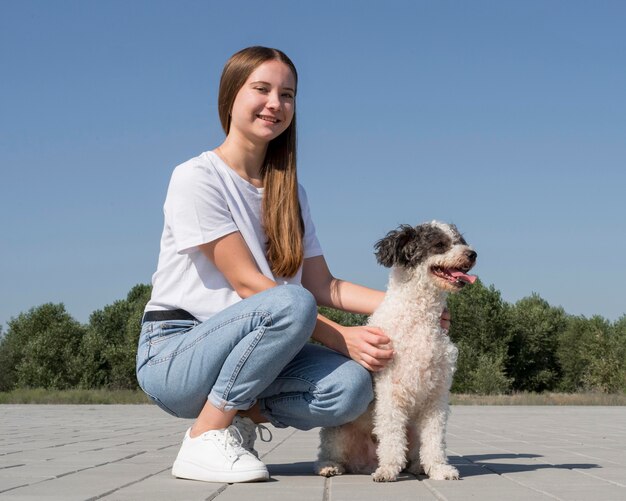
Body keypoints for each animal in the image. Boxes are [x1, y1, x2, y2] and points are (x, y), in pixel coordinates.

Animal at [314, 219, 476, 480]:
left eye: (461, 241)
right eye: (439, 244)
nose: (472, 254)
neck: (419, 320)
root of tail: (365, 463)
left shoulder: (437, 396)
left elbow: (435, 440)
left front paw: (439, 469)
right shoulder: (391, 391)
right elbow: (391, 437)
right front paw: (389, 469)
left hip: (414, 431)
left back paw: (418, 466)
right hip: (338, 433)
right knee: (331, 453)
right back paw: (330, 466)